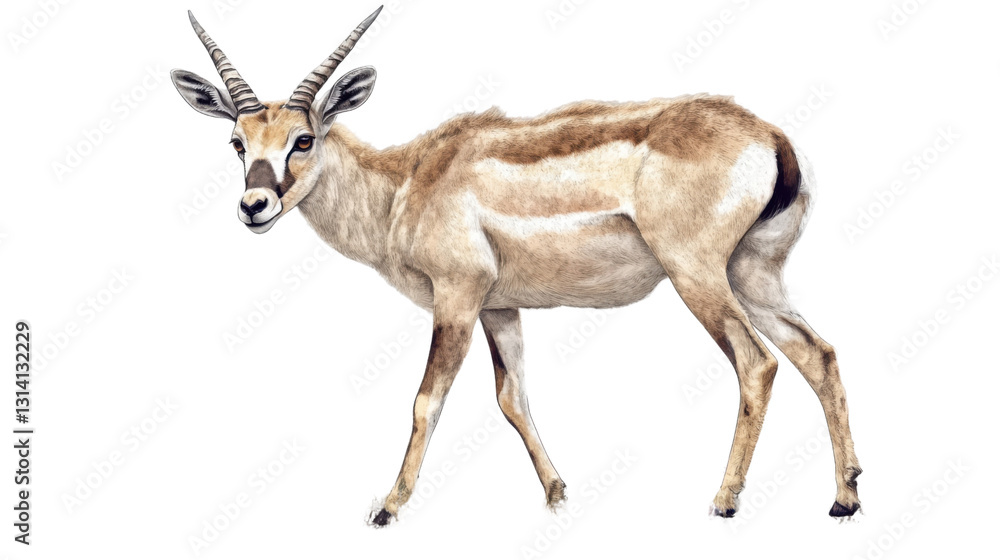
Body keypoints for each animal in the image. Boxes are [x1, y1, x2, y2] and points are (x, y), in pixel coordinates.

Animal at [171, 6, 862, 526]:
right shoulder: (500, 307)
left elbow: (426, 399)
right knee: (818, 353)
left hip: (698, 278)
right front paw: (557, 494)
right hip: (754, 275)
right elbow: (513, 397)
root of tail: (771, 136)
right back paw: (844, 498)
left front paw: (388, 506)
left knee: (757, 362)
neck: (406, 181)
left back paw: (723, 501)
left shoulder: (457, 296)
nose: (254, 206)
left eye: (303, 139)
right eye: (238, 142)